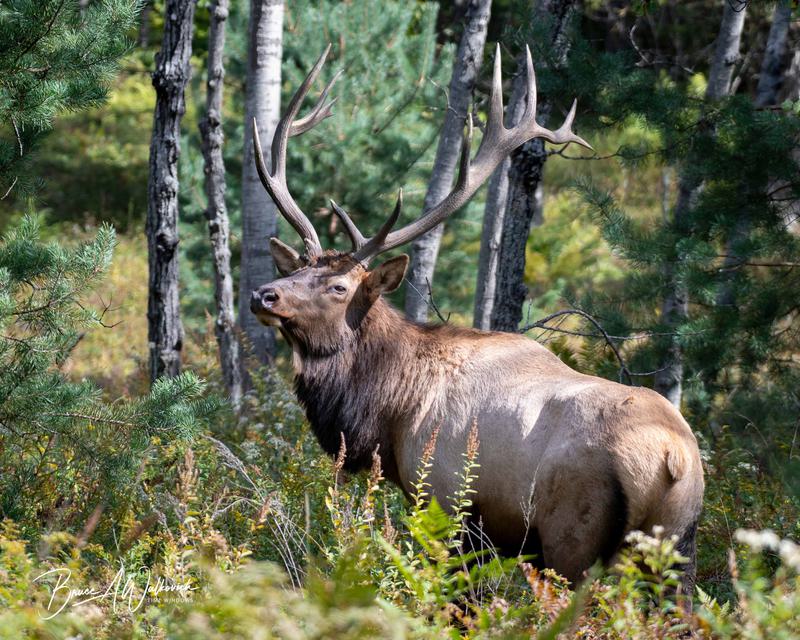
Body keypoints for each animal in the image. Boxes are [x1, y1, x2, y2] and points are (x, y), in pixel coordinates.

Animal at [248, 44, 705, 599]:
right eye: (295, 269)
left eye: (339, 287)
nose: (264, 294)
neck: (388, 413)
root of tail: (673, 459)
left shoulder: (448, 505)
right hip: (677, 553)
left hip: (574, 539)